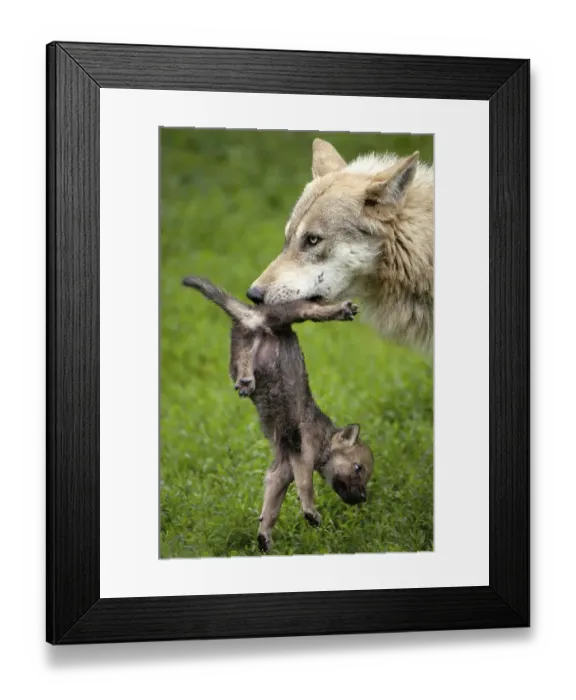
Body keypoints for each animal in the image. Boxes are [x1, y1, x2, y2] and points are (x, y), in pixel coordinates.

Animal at [182, 275, 374, 552]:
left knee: (246, 348)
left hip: (245, 337)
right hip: (285, 315)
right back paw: (340, 310)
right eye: (358, 468)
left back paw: (246, 379)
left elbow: (271, 507)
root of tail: (251, 313)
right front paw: (311, 513)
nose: (363, 499)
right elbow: (306, 487)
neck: (324, 439)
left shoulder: (281, 470)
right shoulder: (302, 453)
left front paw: (264, 537)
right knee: (308, 311)